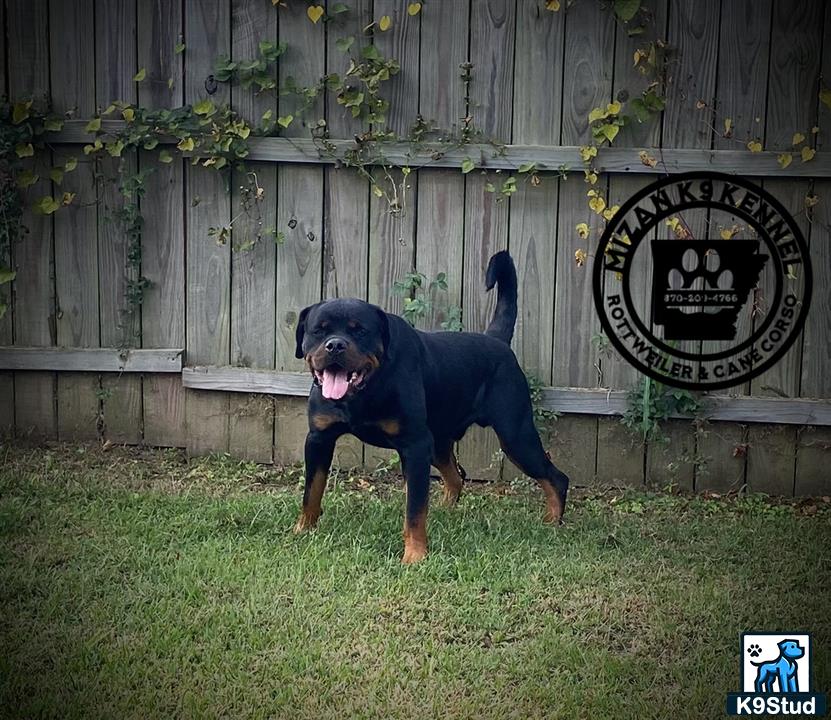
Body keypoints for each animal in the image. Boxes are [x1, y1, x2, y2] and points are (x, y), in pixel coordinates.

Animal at [292, 252, 572, 564]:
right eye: (318, 330)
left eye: (360, 331)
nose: (335, 345)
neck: (364, 391)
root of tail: (497, 341)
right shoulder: (319, 438)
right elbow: (312, 490)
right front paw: (303, 529)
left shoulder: (414, 445)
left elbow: (414, 509)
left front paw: (415, 555)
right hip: (439, 442)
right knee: (456, 477)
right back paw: (445, 510)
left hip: (515, 436)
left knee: (556, 477)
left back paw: (552, 521)